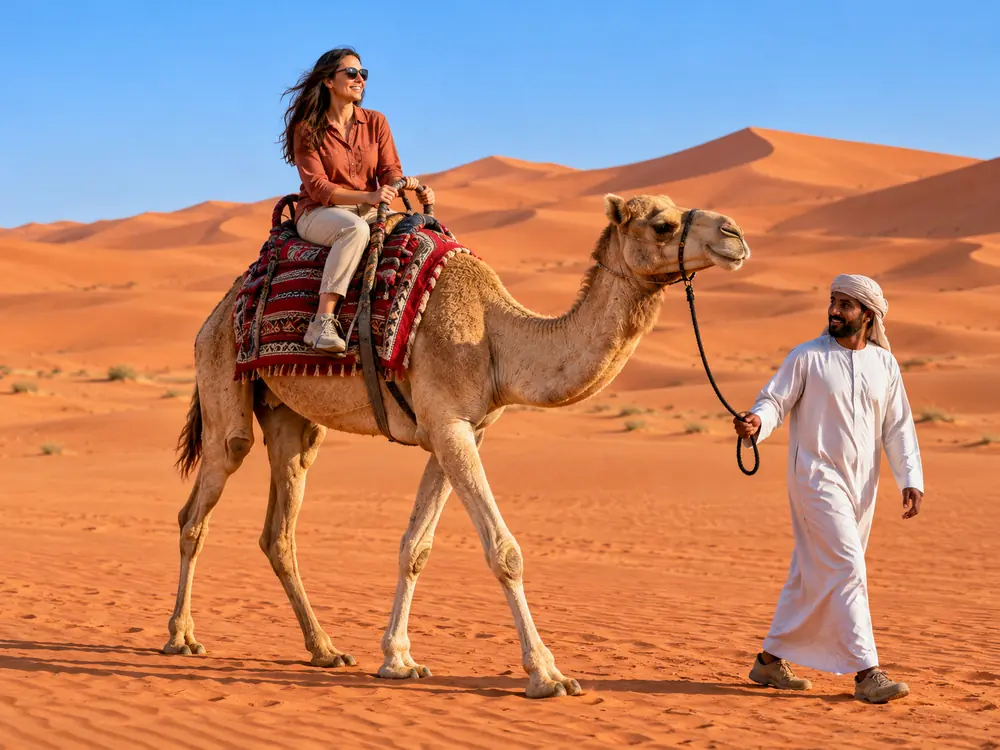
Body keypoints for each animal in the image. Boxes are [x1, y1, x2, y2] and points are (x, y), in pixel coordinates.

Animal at [163, 192, 751, 699]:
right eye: (663, 225)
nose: (735, 234)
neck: (495, 338)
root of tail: (218, 309)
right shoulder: (449, 426)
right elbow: (504, 552)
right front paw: (547, 674)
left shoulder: (459, 429)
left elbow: (415, 548)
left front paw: (398, 659)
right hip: (221, 377)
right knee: (201, 502)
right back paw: (181, 637)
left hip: (290, 417)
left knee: (280, 528)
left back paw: (325, 649)